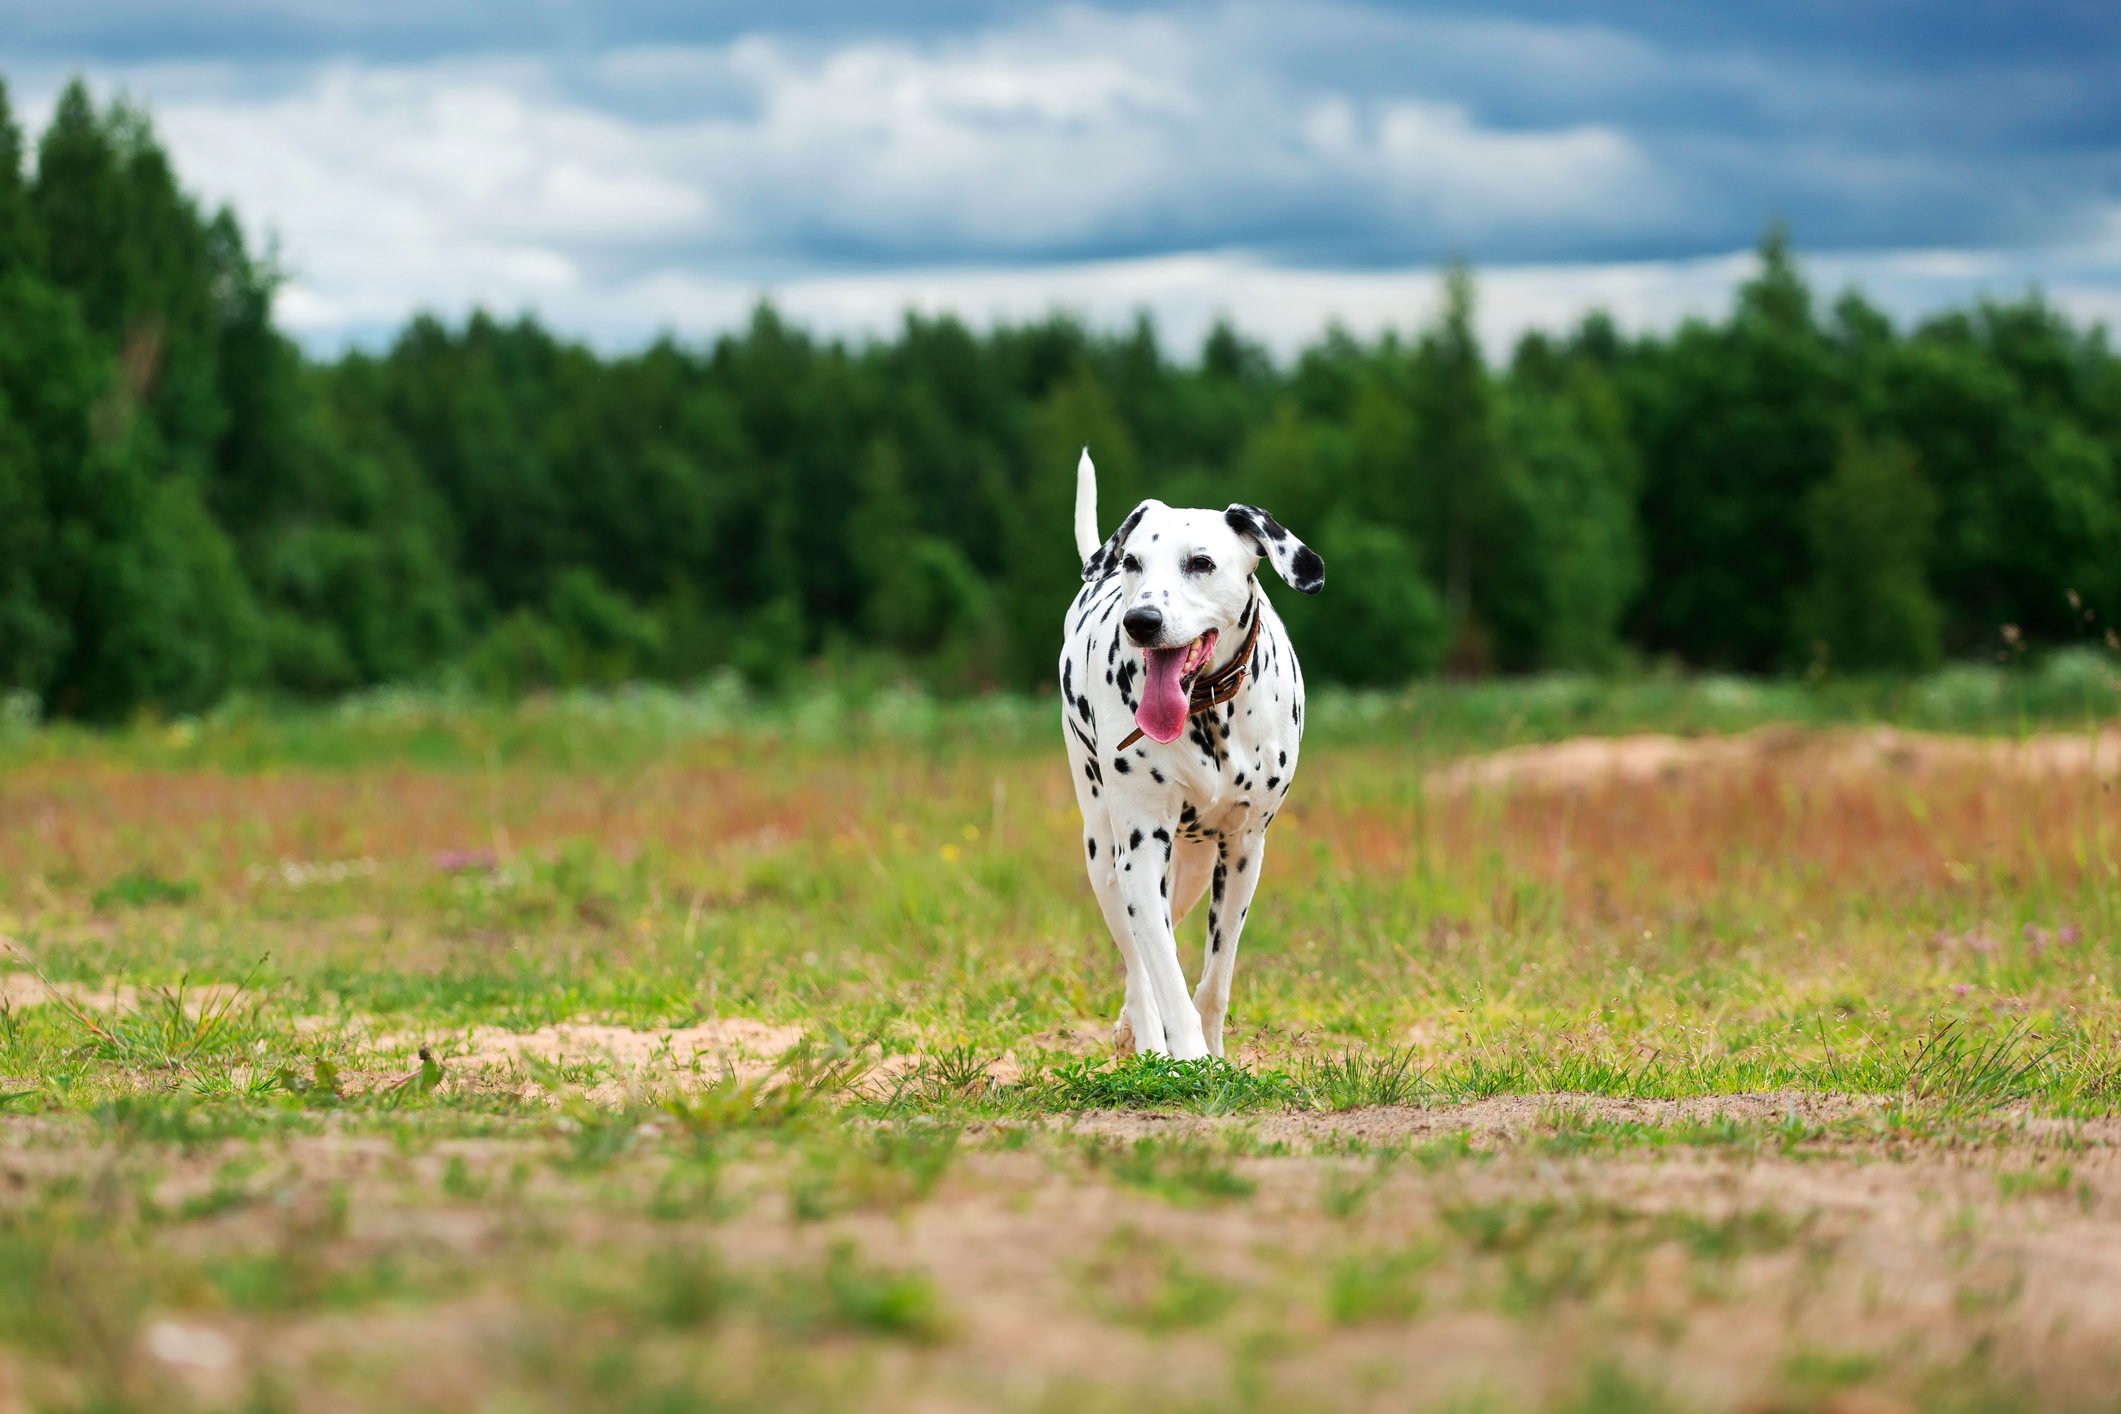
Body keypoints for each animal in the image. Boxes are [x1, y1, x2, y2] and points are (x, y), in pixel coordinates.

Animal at [1060, 447, 1323, 1055]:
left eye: (1200, 563)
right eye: (1132, 562)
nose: (1141, 621)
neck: (1208, 713)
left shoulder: (1244, 850)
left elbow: (1215, 977)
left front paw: (1217, 1054)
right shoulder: (1138, 852)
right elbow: (1166, 975)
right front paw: (1189, 1058)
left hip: (1197, 865)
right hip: (1105, 856)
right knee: (1138, 959)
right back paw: (1145, 1039)